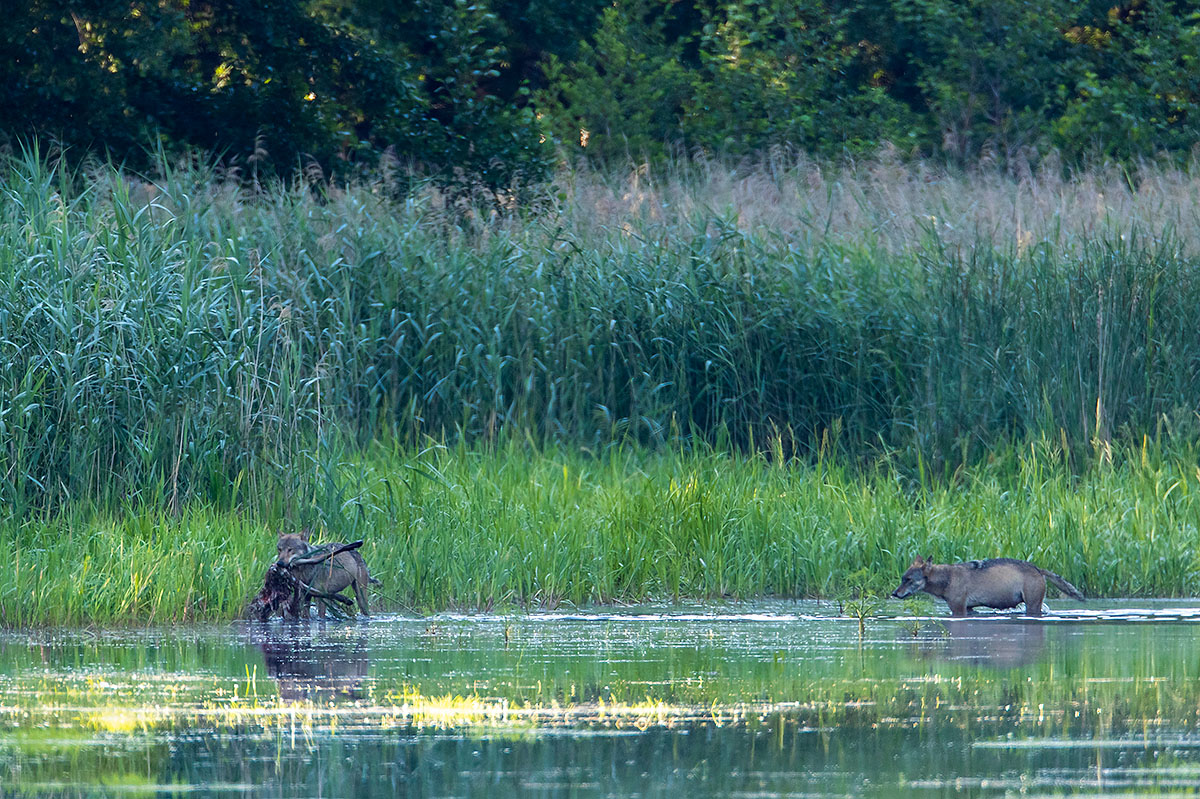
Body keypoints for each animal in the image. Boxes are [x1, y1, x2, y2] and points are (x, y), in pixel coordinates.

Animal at [892, 554, 1089, 614]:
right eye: (902, 578)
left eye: (908, 580)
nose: (894, 593)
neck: (946, 579)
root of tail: (1038, 568)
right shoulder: (969, 608)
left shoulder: (958, 609)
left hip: (1032, 605)